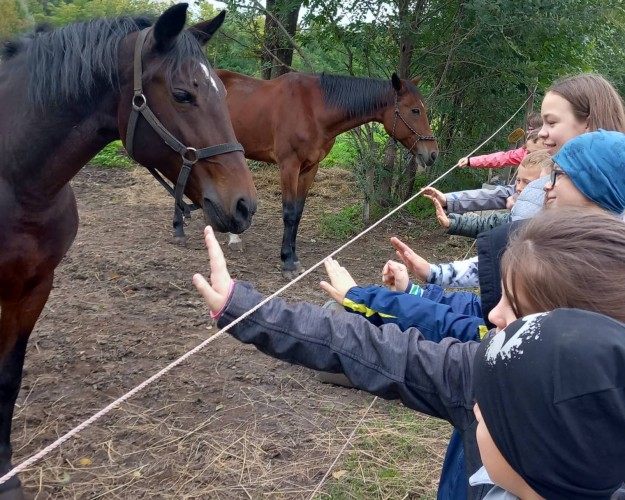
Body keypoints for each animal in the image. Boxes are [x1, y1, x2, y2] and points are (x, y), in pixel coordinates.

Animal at [0, 3, 256, 496]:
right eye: (182, 94)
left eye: (220, 91)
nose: (244, 205)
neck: (16, 182)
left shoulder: (33, 290)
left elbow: (8, 378)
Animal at [218, 71, 438, 278]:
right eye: (415, 110)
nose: (432, 153)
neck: (312, 109)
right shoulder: (289, 166)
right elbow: (289, 213)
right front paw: (287, 263)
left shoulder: (310, 168)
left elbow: (298, 213)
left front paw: (294, 258)